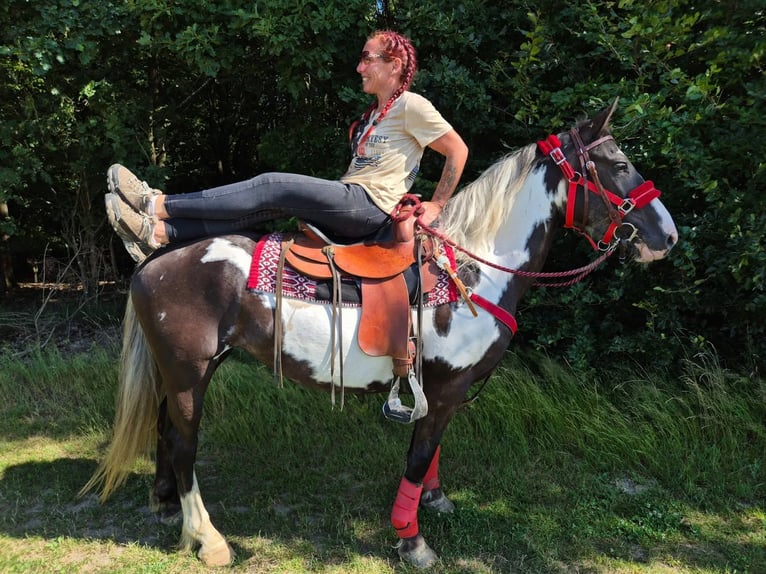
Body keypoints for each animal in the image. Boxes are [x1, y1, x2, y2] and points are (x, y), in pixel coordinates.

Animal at [82, 100, 678, 568]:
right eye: (620, 164)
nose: (668, 236)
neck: (472, 270)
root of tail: (154, 261)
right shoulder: (445, 388)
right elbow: (418, 454)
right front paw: (411, 540)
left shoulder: (440, 389)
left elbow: (430, 453)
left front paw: (434, 502)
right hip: (189, 373)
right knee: (184, 444)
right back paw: (209, 539)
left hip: (180, 371)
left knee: (165, 431)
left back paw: (165, 506)